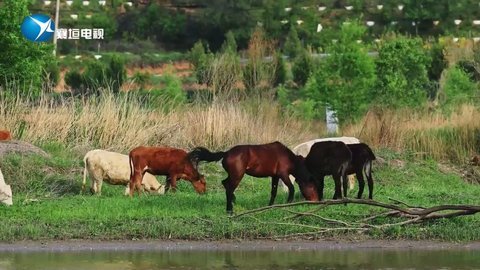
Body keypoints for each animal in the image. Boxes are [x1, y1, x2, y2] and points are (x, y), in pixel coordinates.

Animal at [190, 142, 318, 214]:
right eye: (313, 187)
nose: (316, 201)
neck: (288, 157)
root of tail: (226, 153)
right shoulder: (283, 175)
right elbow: (291, 188)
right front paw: (288, 203)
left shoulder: (275, 176)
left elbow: (274, 192)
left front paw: (270, 206)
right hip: (237, 175)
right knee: (229, 189)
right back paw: (229, 210)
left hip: (233, 175)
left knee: (225, 183)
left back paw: (233, 202)